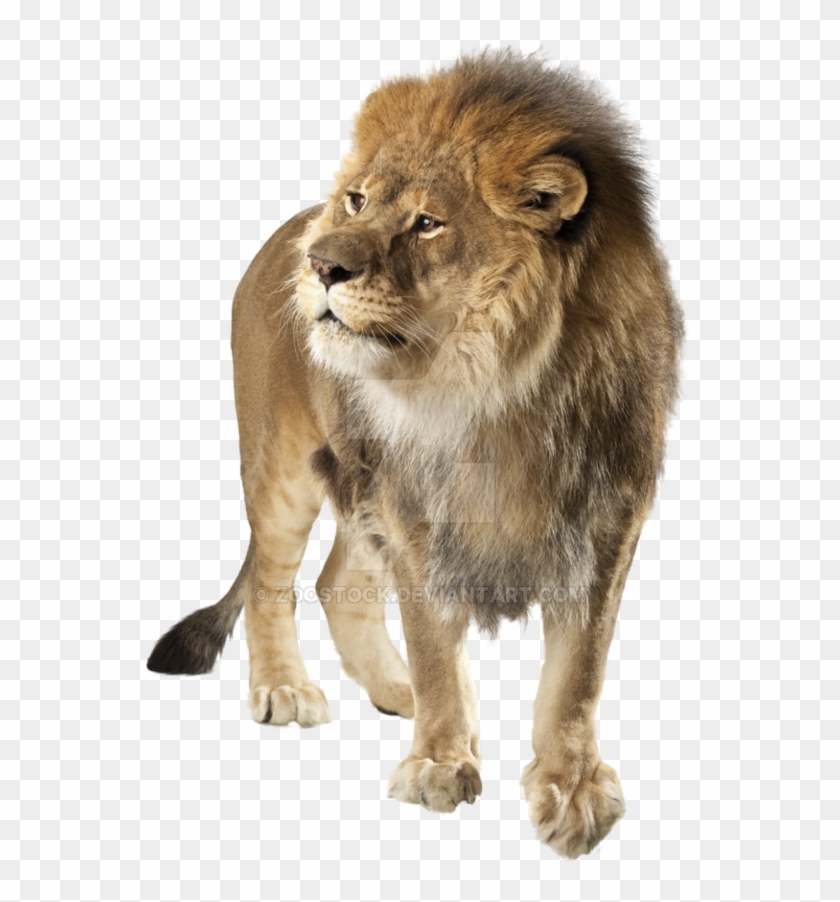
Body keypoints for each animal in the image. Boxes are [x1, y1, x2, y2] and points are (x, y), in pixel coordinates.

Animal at [147, 50, 683, 858]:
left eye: (428, 223)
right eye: (358, 202)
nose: (321, 265)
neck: (493, 394)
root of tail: (286, 229)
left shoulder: (604, 522)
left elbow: (578, 674)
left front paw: (572, 790)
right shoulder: (415, 510)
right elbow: (433, 643)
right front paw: (439, 764)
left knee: (339, 582)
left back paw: (396, 692)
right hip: (283, 465)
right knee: (276, 584)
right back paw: (286, 688)